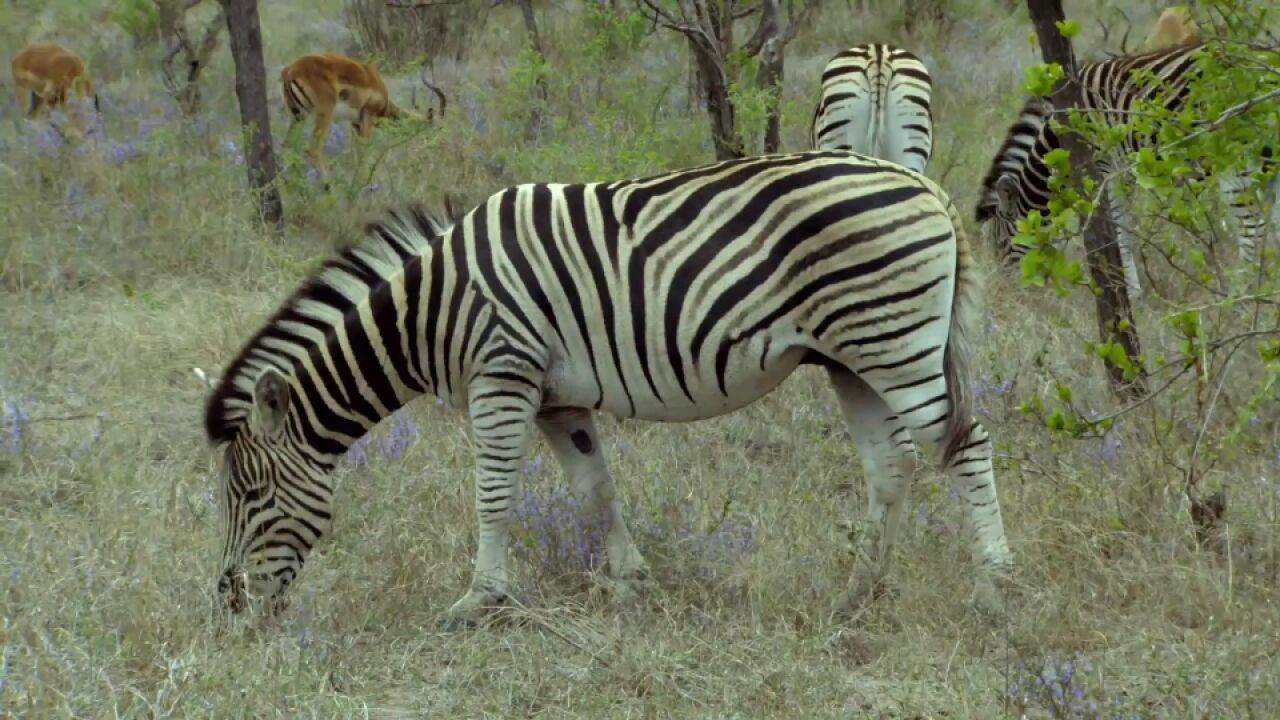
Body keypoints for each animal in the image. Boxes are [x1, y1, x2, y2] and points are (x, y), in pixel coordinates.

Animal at [202, 149, 1008, 622]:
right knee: (892, 465)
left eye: (248, 495)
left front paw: (480, 600)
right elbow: (596, 489)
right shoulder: (559, 400)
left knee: (966, 446)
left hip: (891, 339)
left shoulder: (503, 375)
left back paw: (993, 590)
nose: (230, 603)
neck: (428, 310)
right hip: (852, 357)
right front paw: (631, 582)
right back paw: (857, 595)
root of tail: (921, 182)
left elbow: (492, 493)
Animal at [277, 52, 442, 180]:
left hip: (298, 115)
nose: (434, 150)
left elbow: (356, 154)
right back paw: (329, 186)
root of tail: (289, 70)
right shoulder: (368, 116)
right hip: (324, 114)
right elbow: (364, 153)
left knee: (287, 145)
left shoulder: (355, 123)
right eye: (436, 128)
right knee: (313, 149)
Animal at [977, 41, 1269, 295]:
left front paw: (1130, 291)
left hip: (1232, 151)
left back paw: (1246, 289)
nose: (1007, 292)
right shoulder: (1122, 172)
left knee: (1252, 222)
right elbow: (1121, 227)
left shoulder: (1106, 168)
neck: (1059, 136)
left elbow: (1117, 229)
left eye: (1002, 244)